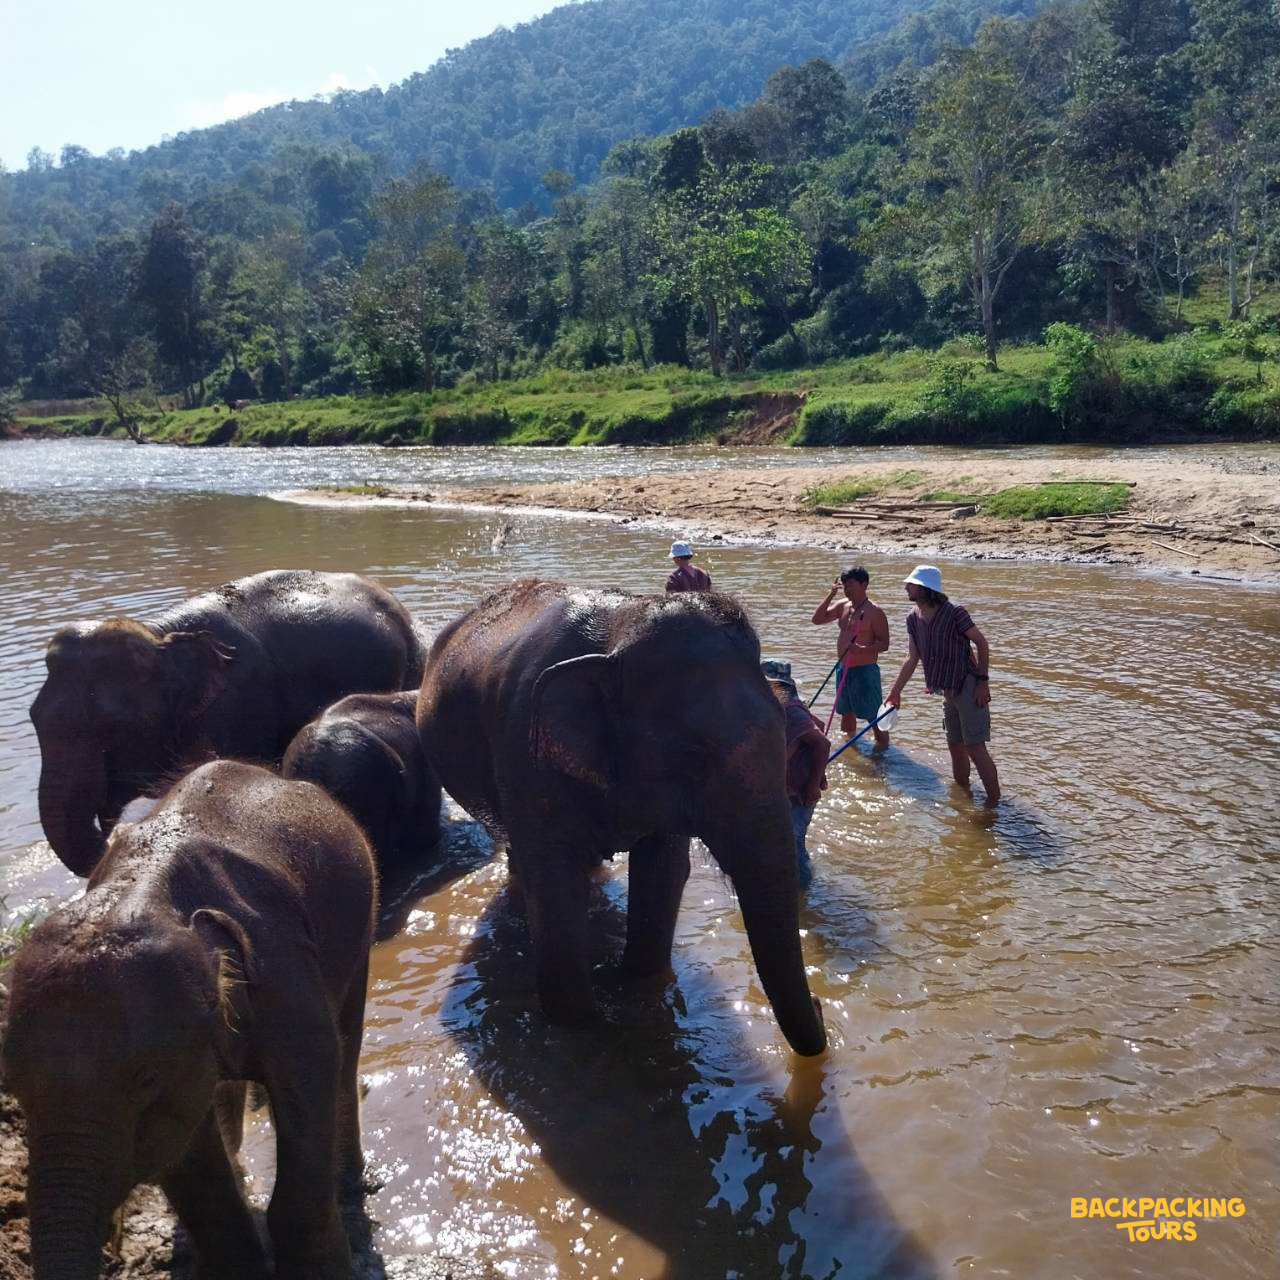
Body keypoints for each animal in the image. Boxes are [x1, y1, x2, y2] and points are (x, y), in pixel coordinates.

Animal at [1, 759, 377, 1280]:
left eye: (146, 1078)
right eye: (12, 1086)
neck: (142, 892)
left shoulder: (282, 967)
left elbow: (311, 1074)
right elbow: (188, 1147)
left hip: (360, 930)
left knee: (346, 1051)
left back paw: (351, 1191)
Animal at [416, 579, 827, 1057]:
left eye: (787, 739)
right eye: (691, 756)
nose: (821, 1004)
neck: (619, 630)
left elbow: (663, 871)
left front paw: (642, 989)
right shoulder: (522, 750)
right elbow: (554, 884)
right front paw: (583, 1029)